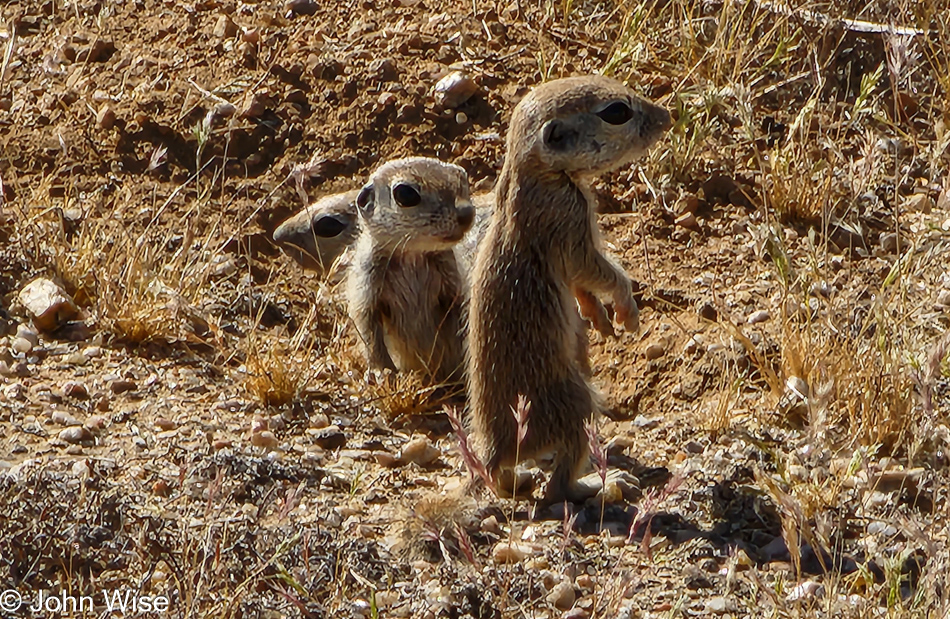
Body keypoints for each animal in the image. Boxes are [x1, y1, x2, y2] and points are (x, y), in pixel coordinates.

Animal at [346, 156, 476, 382]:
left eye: (463, 177)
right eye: (405, 194)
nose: (467, 213)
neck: (412, 254)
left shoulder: (453, 278)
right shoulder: (366, 281)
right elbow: (368, 329)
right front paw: (382, 371)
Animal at [466, 75, 672, 506]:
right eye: (617, 112)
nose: (666, 115)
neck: (535, 174)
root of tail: (495, 448)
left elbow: (581, 284)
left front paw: (596, 314)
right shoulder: (568, 222)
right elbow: (594, 269)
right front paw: (626, 308)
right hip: (576, 405)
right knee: (557, 488)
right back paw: (601, 485)